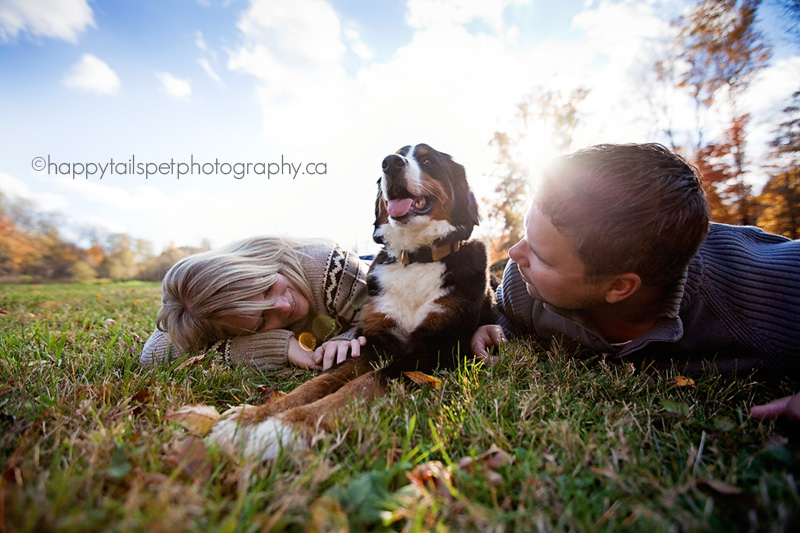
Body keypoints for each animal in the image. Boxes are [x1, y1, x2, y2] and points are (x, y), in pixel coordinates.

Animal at [208, 143, 494, 460]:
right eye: (396, 154)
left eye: (428, 160)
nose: (390, 163)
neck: (417, 258)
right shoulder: (378, 340)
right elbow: (318, 382)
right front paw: (251, 419)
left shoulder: (438, 347)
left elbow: (364, 384)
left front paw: (287, 426)